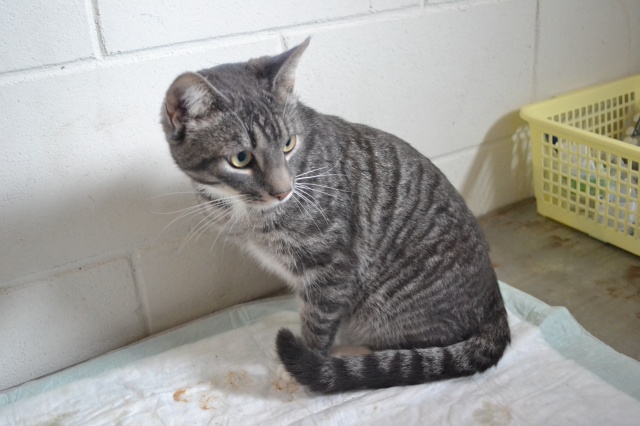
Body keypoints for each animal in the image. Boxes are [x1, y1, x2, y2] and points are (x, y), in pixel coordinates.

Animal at [160, 38, 510, 393]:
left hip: (392, 306)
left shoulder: (332, 268)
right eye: (240, 159)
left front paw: (305, 359)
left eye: (288, 144)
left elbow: (319, 319)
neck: (245, 213)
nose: (283, 190)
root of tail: (495, 305)